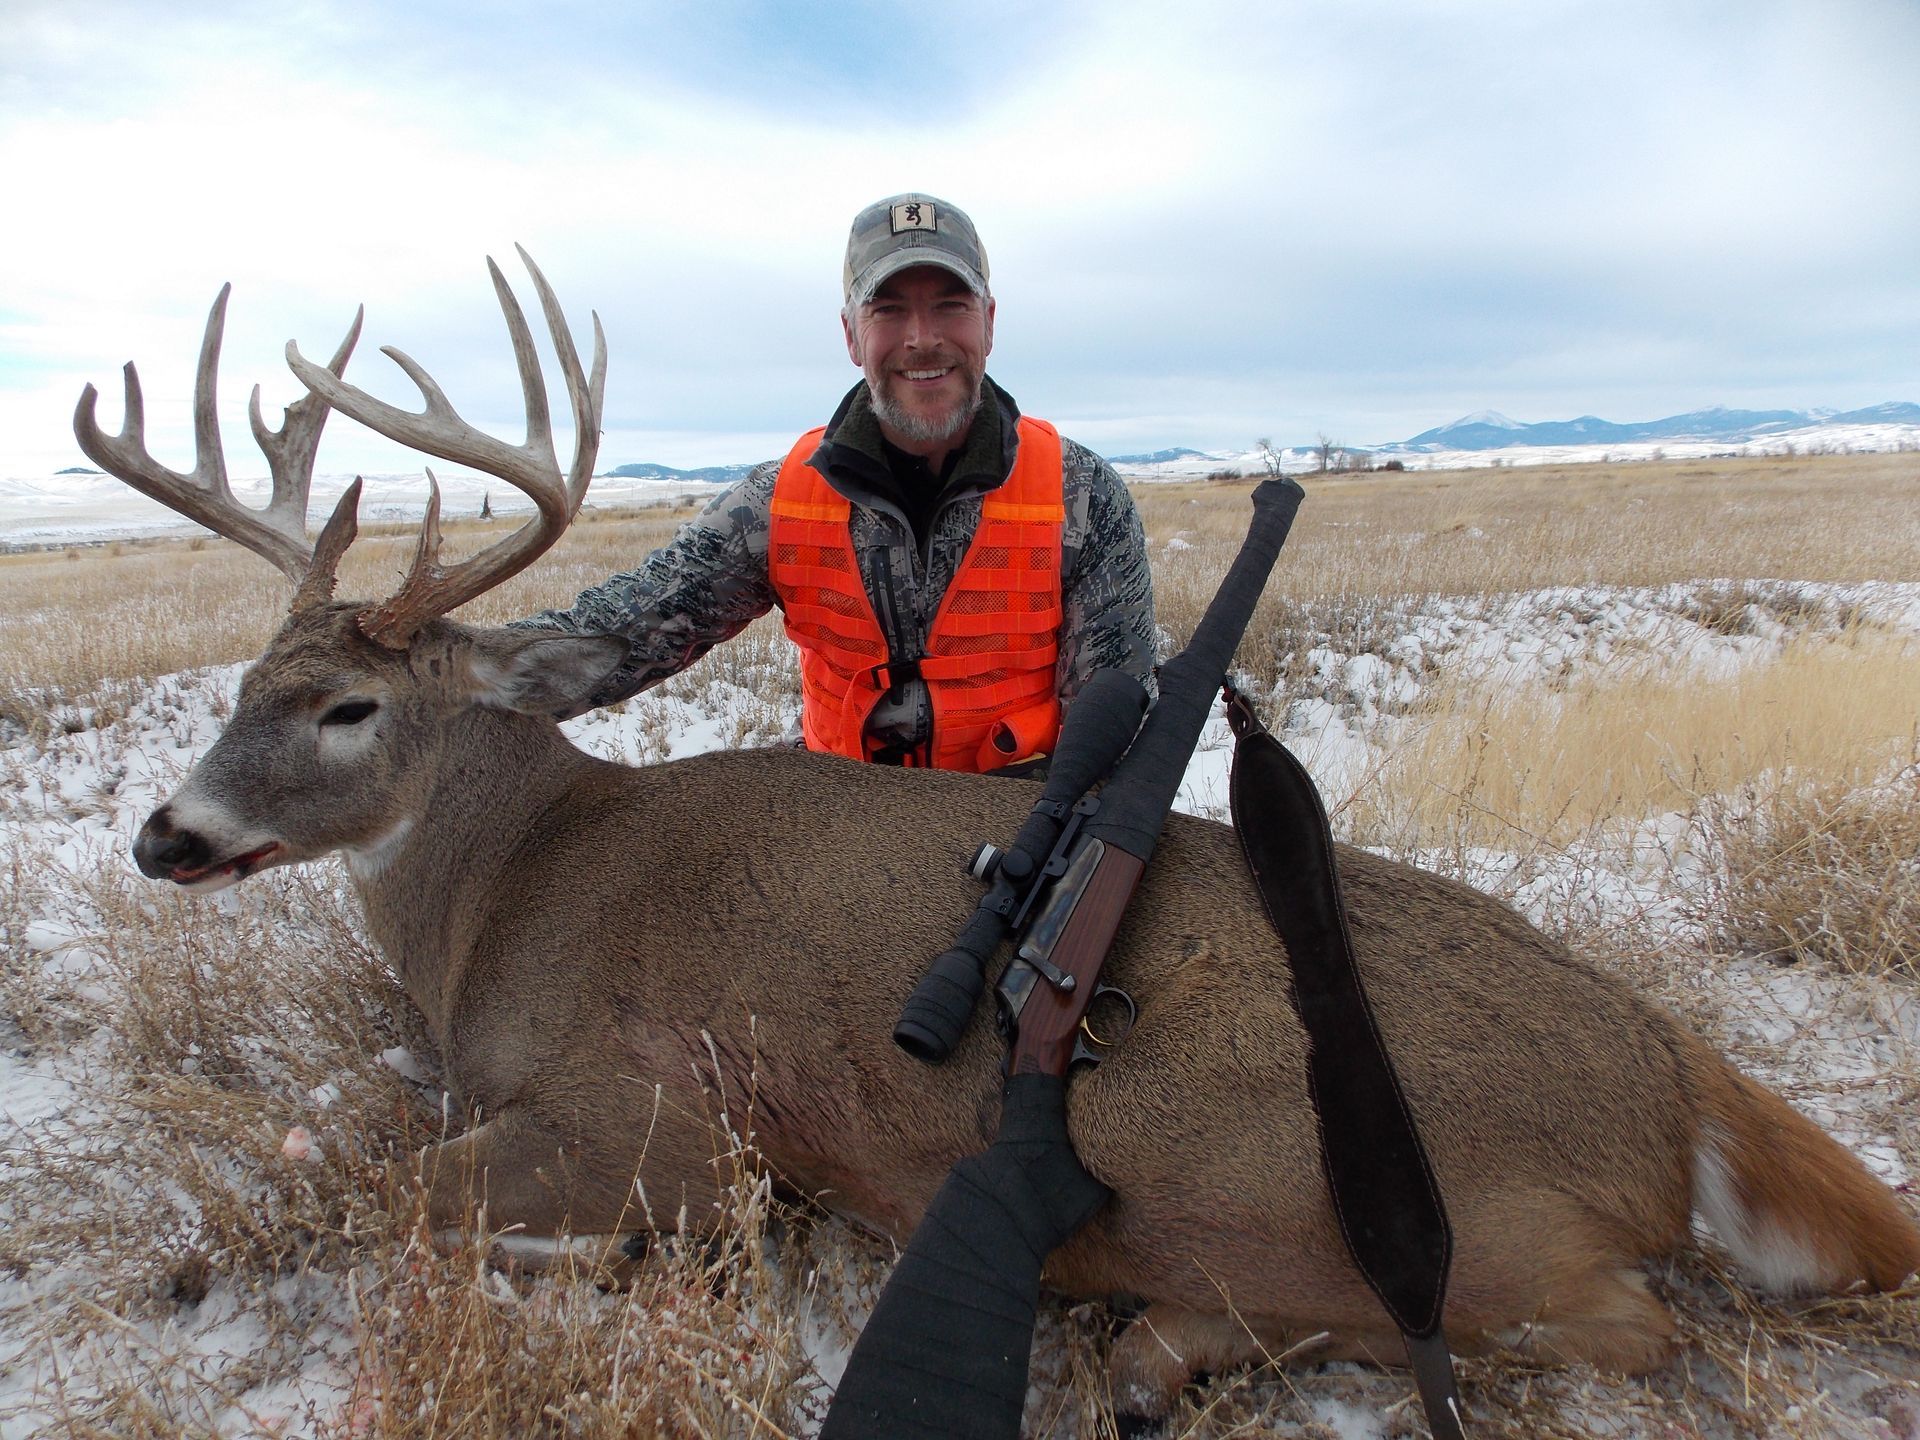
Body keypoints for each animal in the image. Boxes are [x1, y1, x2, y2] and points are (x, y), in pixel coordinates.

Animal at [76, 251, 1920, 1431]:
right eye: (241, 683)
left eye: (345, 710)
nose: (168, 836)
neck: (505, 896)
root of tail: (1683, 1080)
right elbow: (354, 1147)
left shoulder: (663, 1112)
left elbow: (377, 1198)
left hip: (1251, 1153)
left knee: (1615, 1327)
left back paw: (1173, 1348)